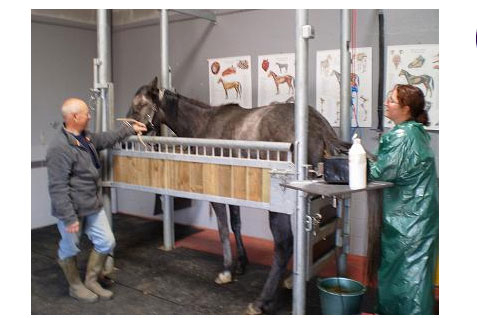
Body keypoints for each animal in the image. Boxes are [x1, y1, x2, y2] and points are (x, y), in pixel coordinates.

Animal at [126, 76, 354, 314]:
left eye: (139, 105)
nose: (126, 128)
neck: (204, 124)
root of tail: (321, 128)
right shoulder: (232, 191)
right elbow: (236, 224)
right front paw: (241, 263)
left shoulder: (217, 192)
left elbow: (223, 229)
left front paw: (227, 270)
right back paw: (291, 280)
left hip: (278, 208)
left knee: (284, 244)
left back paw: (262, 300)